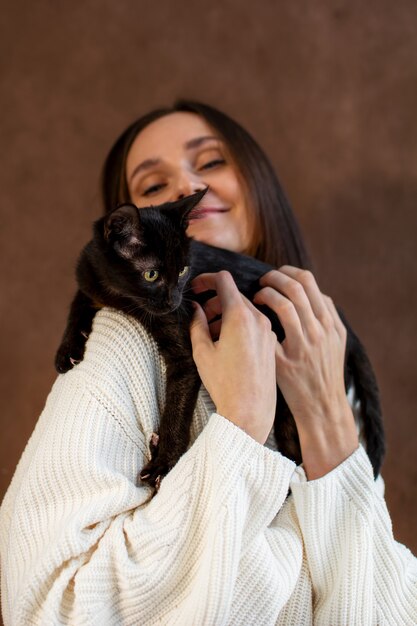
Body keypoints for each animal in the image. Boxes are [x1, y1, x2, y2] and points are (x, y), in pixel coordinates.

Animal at [55, 190, 384, 488]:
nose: (175, 300)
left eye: (183, 270)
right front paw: (67, 351)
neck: (119, 297)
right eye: (152, 275)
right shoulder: (88, 279)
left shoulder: (183, 350)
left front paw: (164, 463)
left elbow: (177, 411)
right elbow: (77, 305)